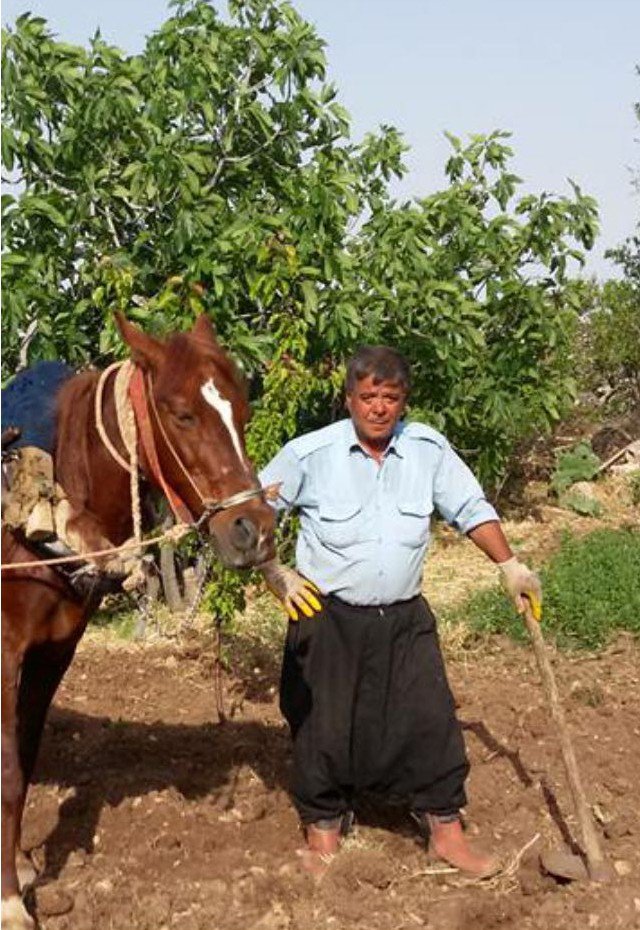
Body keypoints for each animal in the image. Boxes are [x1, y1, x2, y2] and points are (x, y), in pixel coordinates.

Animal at [0, 314, 276, 928]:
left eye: (243, 413)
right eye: (182, 414)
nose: (254, 531)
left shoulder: (53, 652)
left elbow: (24, 759)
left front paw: (24, 868)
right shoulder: (4, 654)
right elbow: (6, 769)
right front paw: (8, 900)